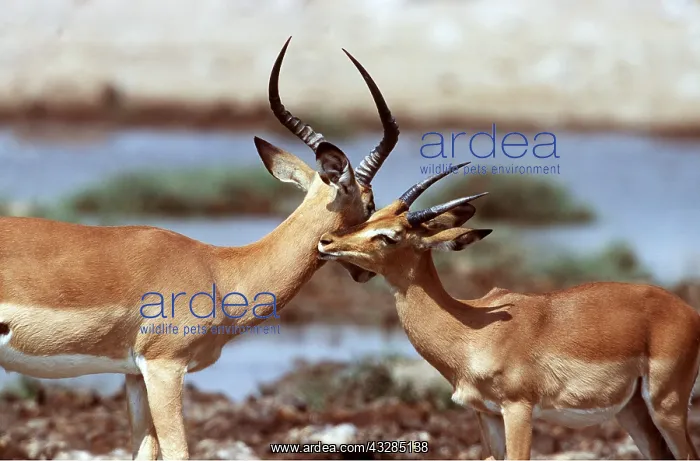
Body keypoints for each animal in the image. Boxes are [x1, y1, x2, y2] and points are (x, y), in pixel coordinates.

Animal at [317, 169, 700, 460]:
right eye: (372, 215)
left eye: (390, 235)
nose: (326, 242)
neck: (473, 329)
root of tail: (686, 310)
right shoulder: (485, 413)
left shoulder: (517, 408)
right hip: (632, 410)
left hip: (666, 405)